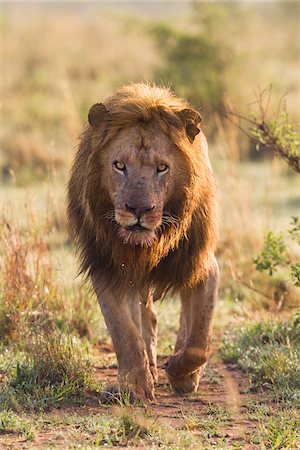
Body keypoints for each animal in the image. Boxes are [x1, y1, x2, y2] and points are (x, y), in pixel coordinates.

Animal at [67, 82, 218, 400]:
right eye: (119, 165)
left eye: (162, 168)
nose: (138, 210)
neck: (150, 244)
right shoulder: (107, 268)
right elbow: (124, 333)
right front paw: (135, 385)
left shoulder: (203, 265)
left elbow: (198, 340)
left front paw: (180, 372)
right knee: (144, 319)